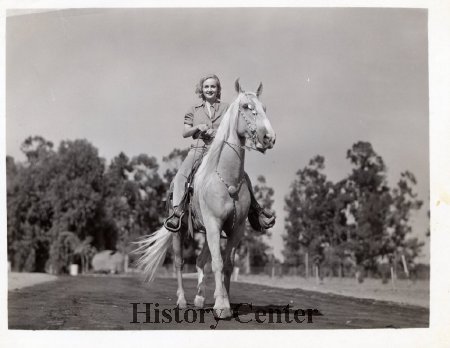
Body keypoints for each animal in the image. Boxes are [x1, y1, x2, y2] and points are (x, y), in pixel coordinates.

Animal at [132, 80, 276, 320]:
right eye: (246, 106)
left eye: (264, 106)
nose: (269, 138)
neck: (226, 179)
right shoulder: (213, 224)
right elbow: (217, 263)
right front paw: (221, 306)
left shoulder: (235, 229)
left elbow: (227, 265)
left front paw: (225, 301)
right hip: (180, 231)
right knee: (179, 263)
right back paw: (182, 301)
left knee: (200, 260)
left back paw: (200, 299)